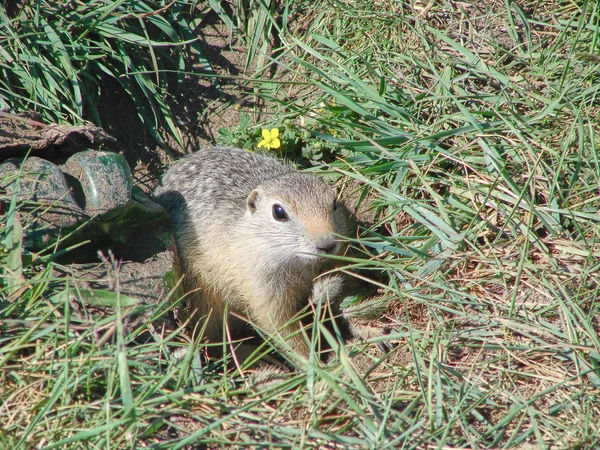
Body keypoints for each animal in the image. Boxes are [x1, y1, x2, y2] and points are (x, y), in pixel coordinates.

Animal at [152, 146, 354, 360]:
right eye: (278, 212)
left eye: (334, 204)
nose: (327, 244)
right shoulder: (261, 286)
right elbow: (281, 327)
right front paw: (312, 361)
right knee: (210, 342)